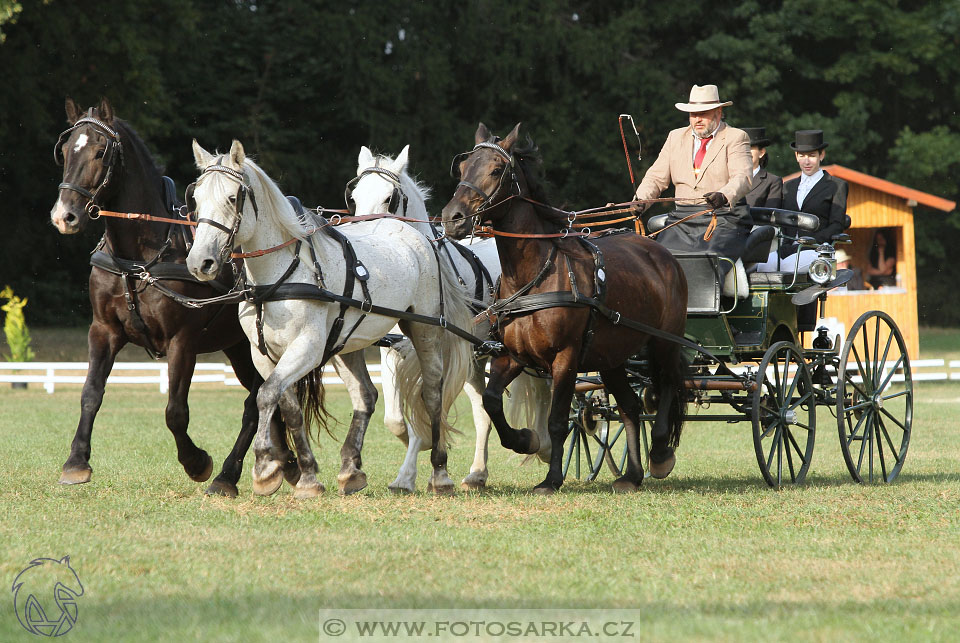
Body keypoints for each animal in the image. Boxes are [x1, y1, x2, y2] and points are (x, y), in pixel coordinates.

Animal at [48, 97, 294, 498]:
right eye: (66, 151)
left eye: (101, 152)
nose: (64, 216)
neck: (137, 258)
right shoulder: (103, 330)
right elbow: (91, 393)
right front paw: (76, 462)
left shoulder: (182, 341)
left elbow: (175, 412)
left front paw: (197, 462)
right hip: (238, 348)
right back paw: (283, 463)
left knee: (256, 401)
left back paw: (229, 475)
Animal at [186, 142, 474, 498]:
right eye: (196, 199)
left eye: (231, 197)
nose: (200, 262)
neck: (280, 275)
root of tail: (417, 234)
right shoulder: (263, 354)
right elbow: (286, 406)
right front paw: (306, 475)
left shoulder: (307, 348)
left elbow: (266, 395)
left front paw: (265, 465)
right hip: (348, 342)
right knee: (365, 395)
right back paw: (351, 469)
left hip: (425, 329)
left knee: (433, 393)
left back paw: (440, 473)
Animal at [350, 145, 552, 494]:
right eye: (355, 197)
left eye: (390, 198)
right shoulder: (392, 350)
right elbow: (395, 419)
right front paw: (411, 464)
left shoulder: (445, 352)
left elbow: (433, 405)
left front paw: (421, 468)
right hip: (476, 359)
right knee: (484, 412)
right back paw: (478, 473)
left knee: (542, 390)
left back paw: (545, 446)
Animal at [442, 122, 688, 494]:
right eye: (463, 167)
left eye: (496, 170)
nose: (452, 218)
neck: (537, 273)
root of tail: (660, 253)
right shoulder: (513, 355)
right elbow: (492, 400)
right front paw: (524, 440)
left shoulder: (566, 358)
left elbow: (557, 419)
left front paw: (551, 478)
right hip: (611, 357)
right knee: (630, 406)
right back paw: (631, 475)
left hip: (664, 342)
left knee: (669, 386)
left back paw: (659, 454)